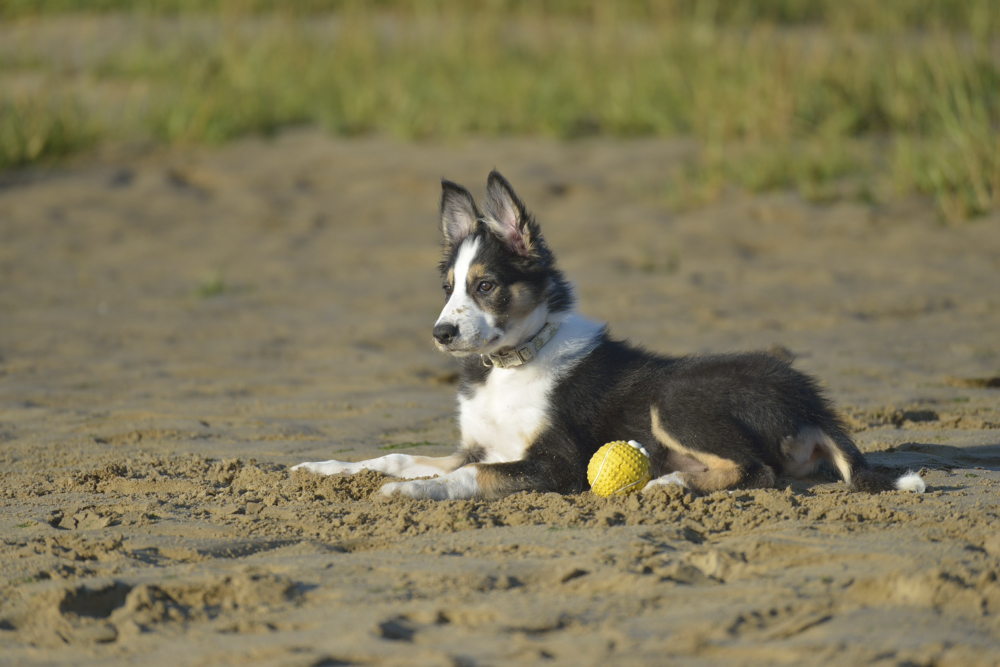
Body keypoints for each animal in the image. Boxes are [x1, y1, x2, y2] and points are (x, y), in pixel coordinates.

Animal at [292, 172, 924, 500]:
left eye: (486, 285)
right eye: (447, 287)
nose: (441, 333)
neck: (513, 364)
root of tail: (808, 397)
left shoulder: (558, 464)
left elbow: (465, 476)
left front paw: (409, 495)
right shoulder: (475, 444)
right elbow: (397, 455)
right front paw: (323, 470)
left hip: (675, 397)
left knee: (758, 471)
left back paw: (668, 482)